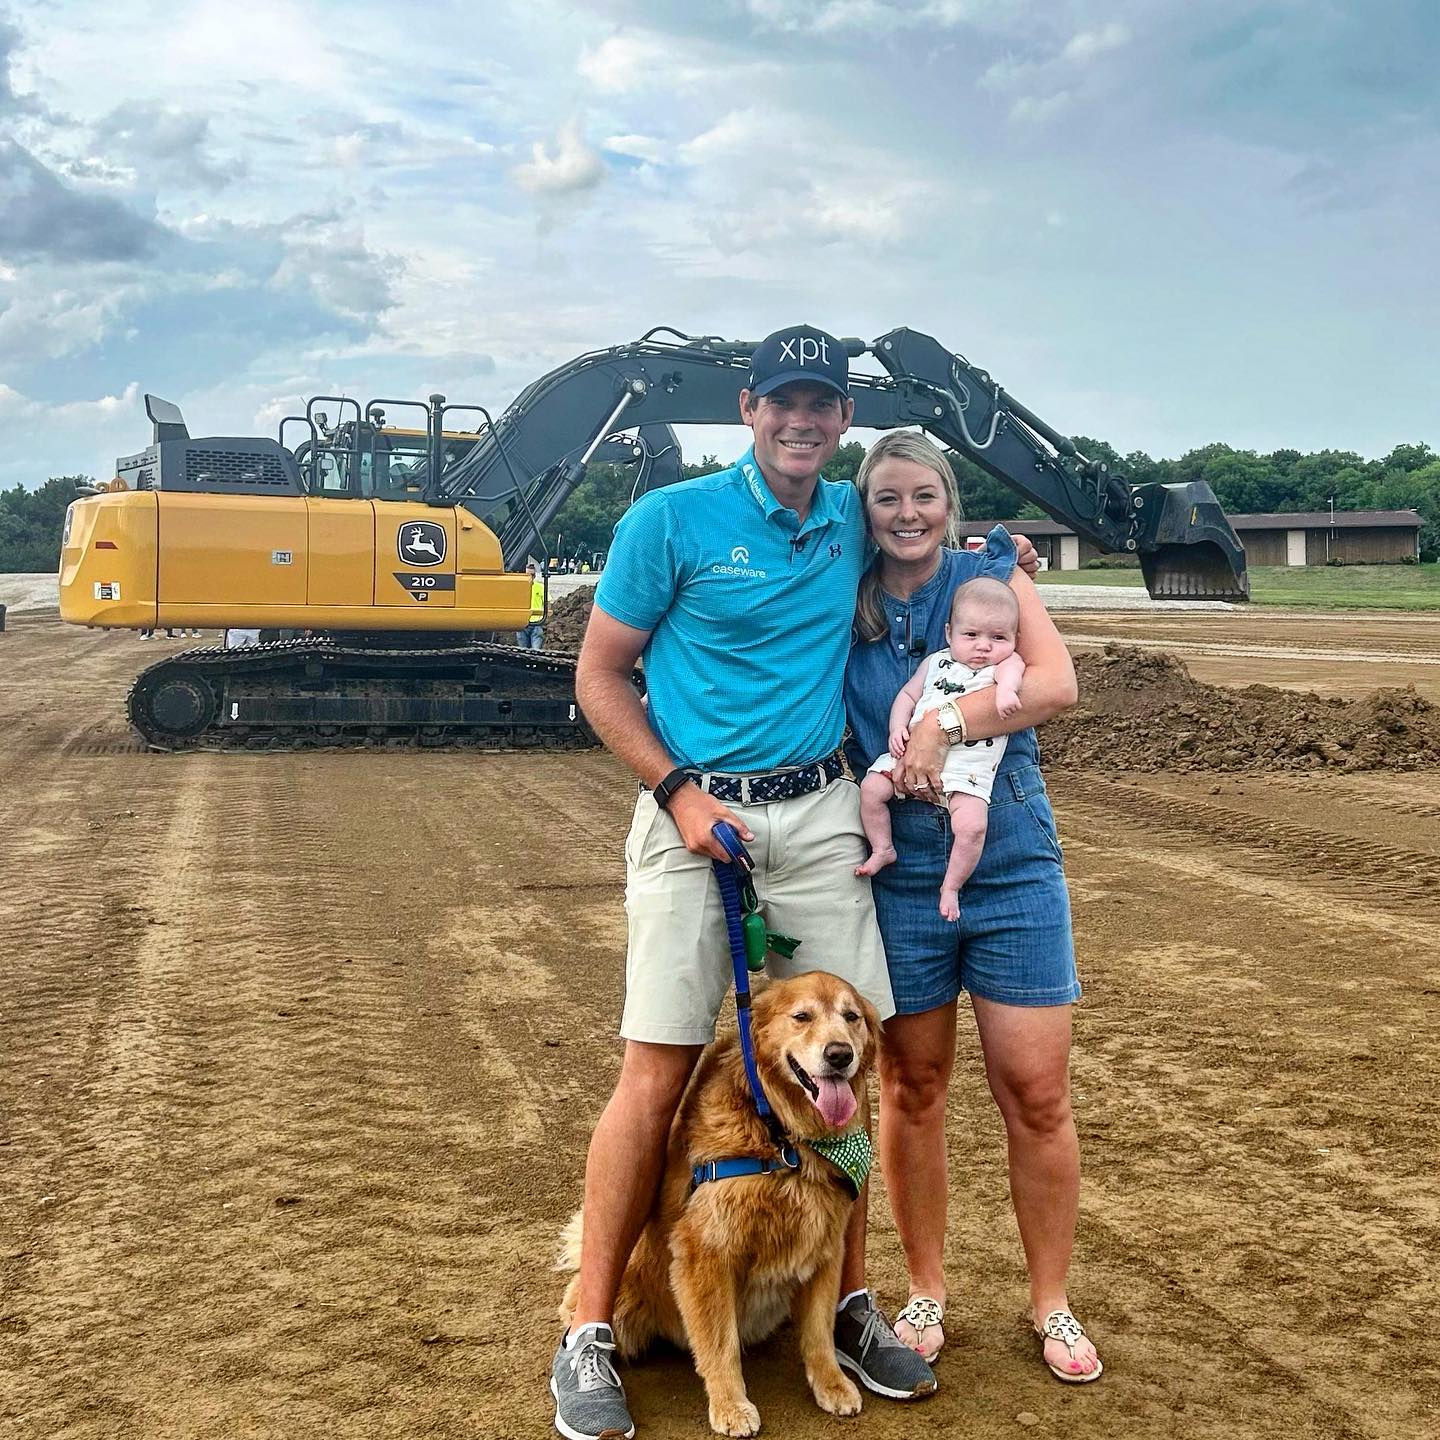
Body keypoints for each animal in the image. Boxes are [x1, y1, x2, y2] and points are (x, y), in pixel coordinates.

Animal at [558, 973, 875, 1434]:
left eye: (852, 1017)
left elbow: (818, 1332)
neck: (781, 1137)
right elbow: (719, 1341)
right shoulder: (705, 1250)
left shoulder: (825, 1245)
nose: (839, 1054)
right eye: (801, 1016)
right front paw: (730, 1405)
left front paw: (832, 1384)